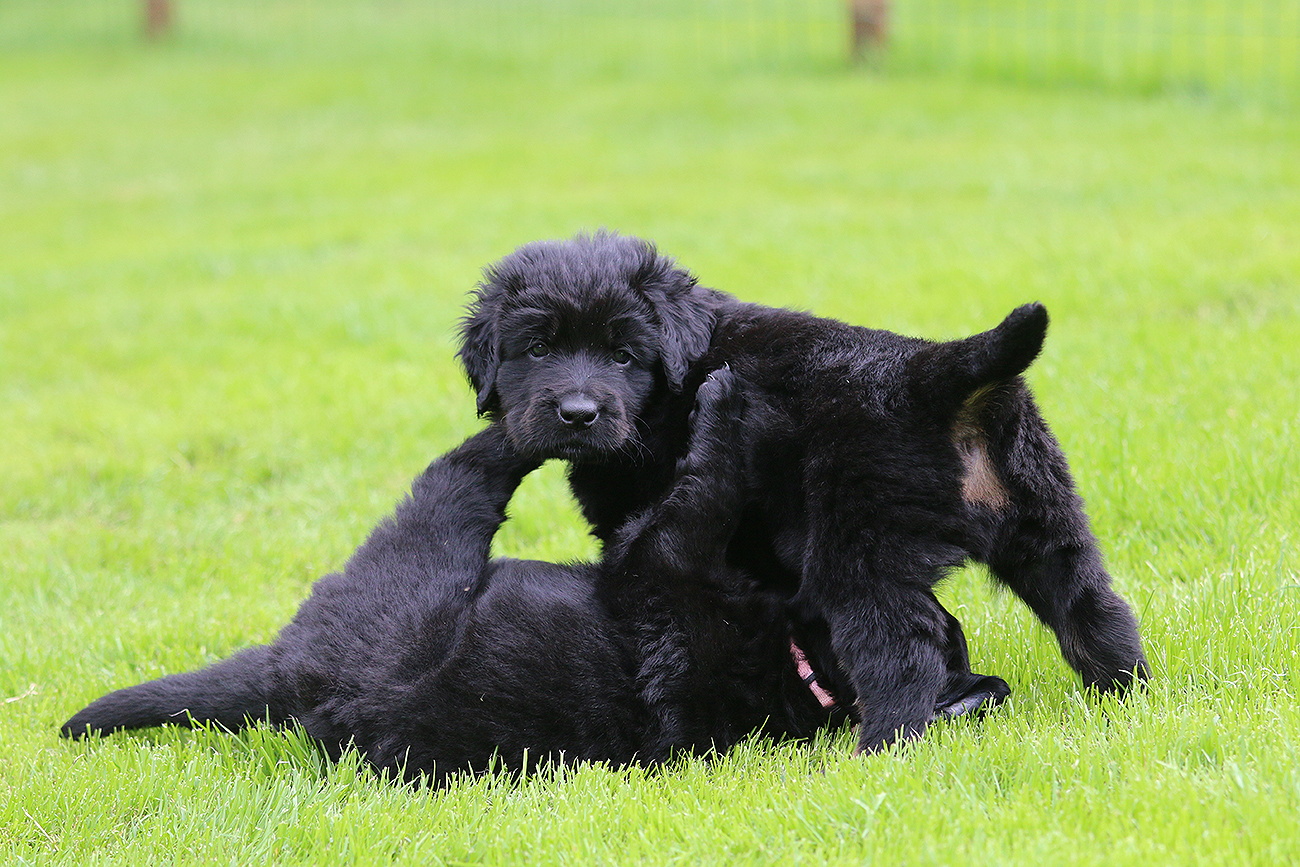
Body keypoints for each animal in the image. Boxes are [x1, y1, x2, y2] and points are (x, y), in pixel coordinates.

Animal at [61, 371, 849, 782]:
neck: (786, 672)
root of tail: (288, 666)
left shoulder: (665, 567)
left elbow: (706, 490)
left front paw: (727, 402)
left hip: (427, 540)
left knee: (471, 465)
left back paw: (526, 424)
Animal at [459, 232, 1149, 753]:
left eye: (625, 354)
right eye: (538, 348)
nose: (577, 413)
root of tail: (935, 375)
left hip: (857, 553)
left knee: (901, 654)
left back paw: (881, 750)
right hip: (1046, 522)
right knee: (1094, 611)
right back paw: (1129, 700)